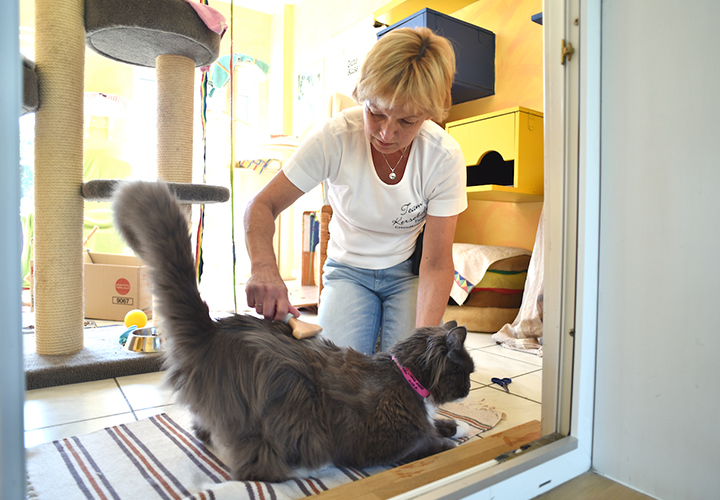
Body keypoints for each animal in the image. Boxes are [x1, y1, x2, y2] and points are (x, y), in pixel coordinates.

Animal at [112, 182, 476, 482]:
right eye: (466, 373)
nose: (470, 390)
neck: (405, 377)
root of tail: (211, 329)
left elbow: (438, 425)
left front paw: (457, 424)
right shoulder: (391, 444)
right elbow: (432, 443)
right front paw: (453, 438)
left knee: (203, 433)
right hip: (290, 399)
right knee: (253, 467)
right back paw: (304, 468)